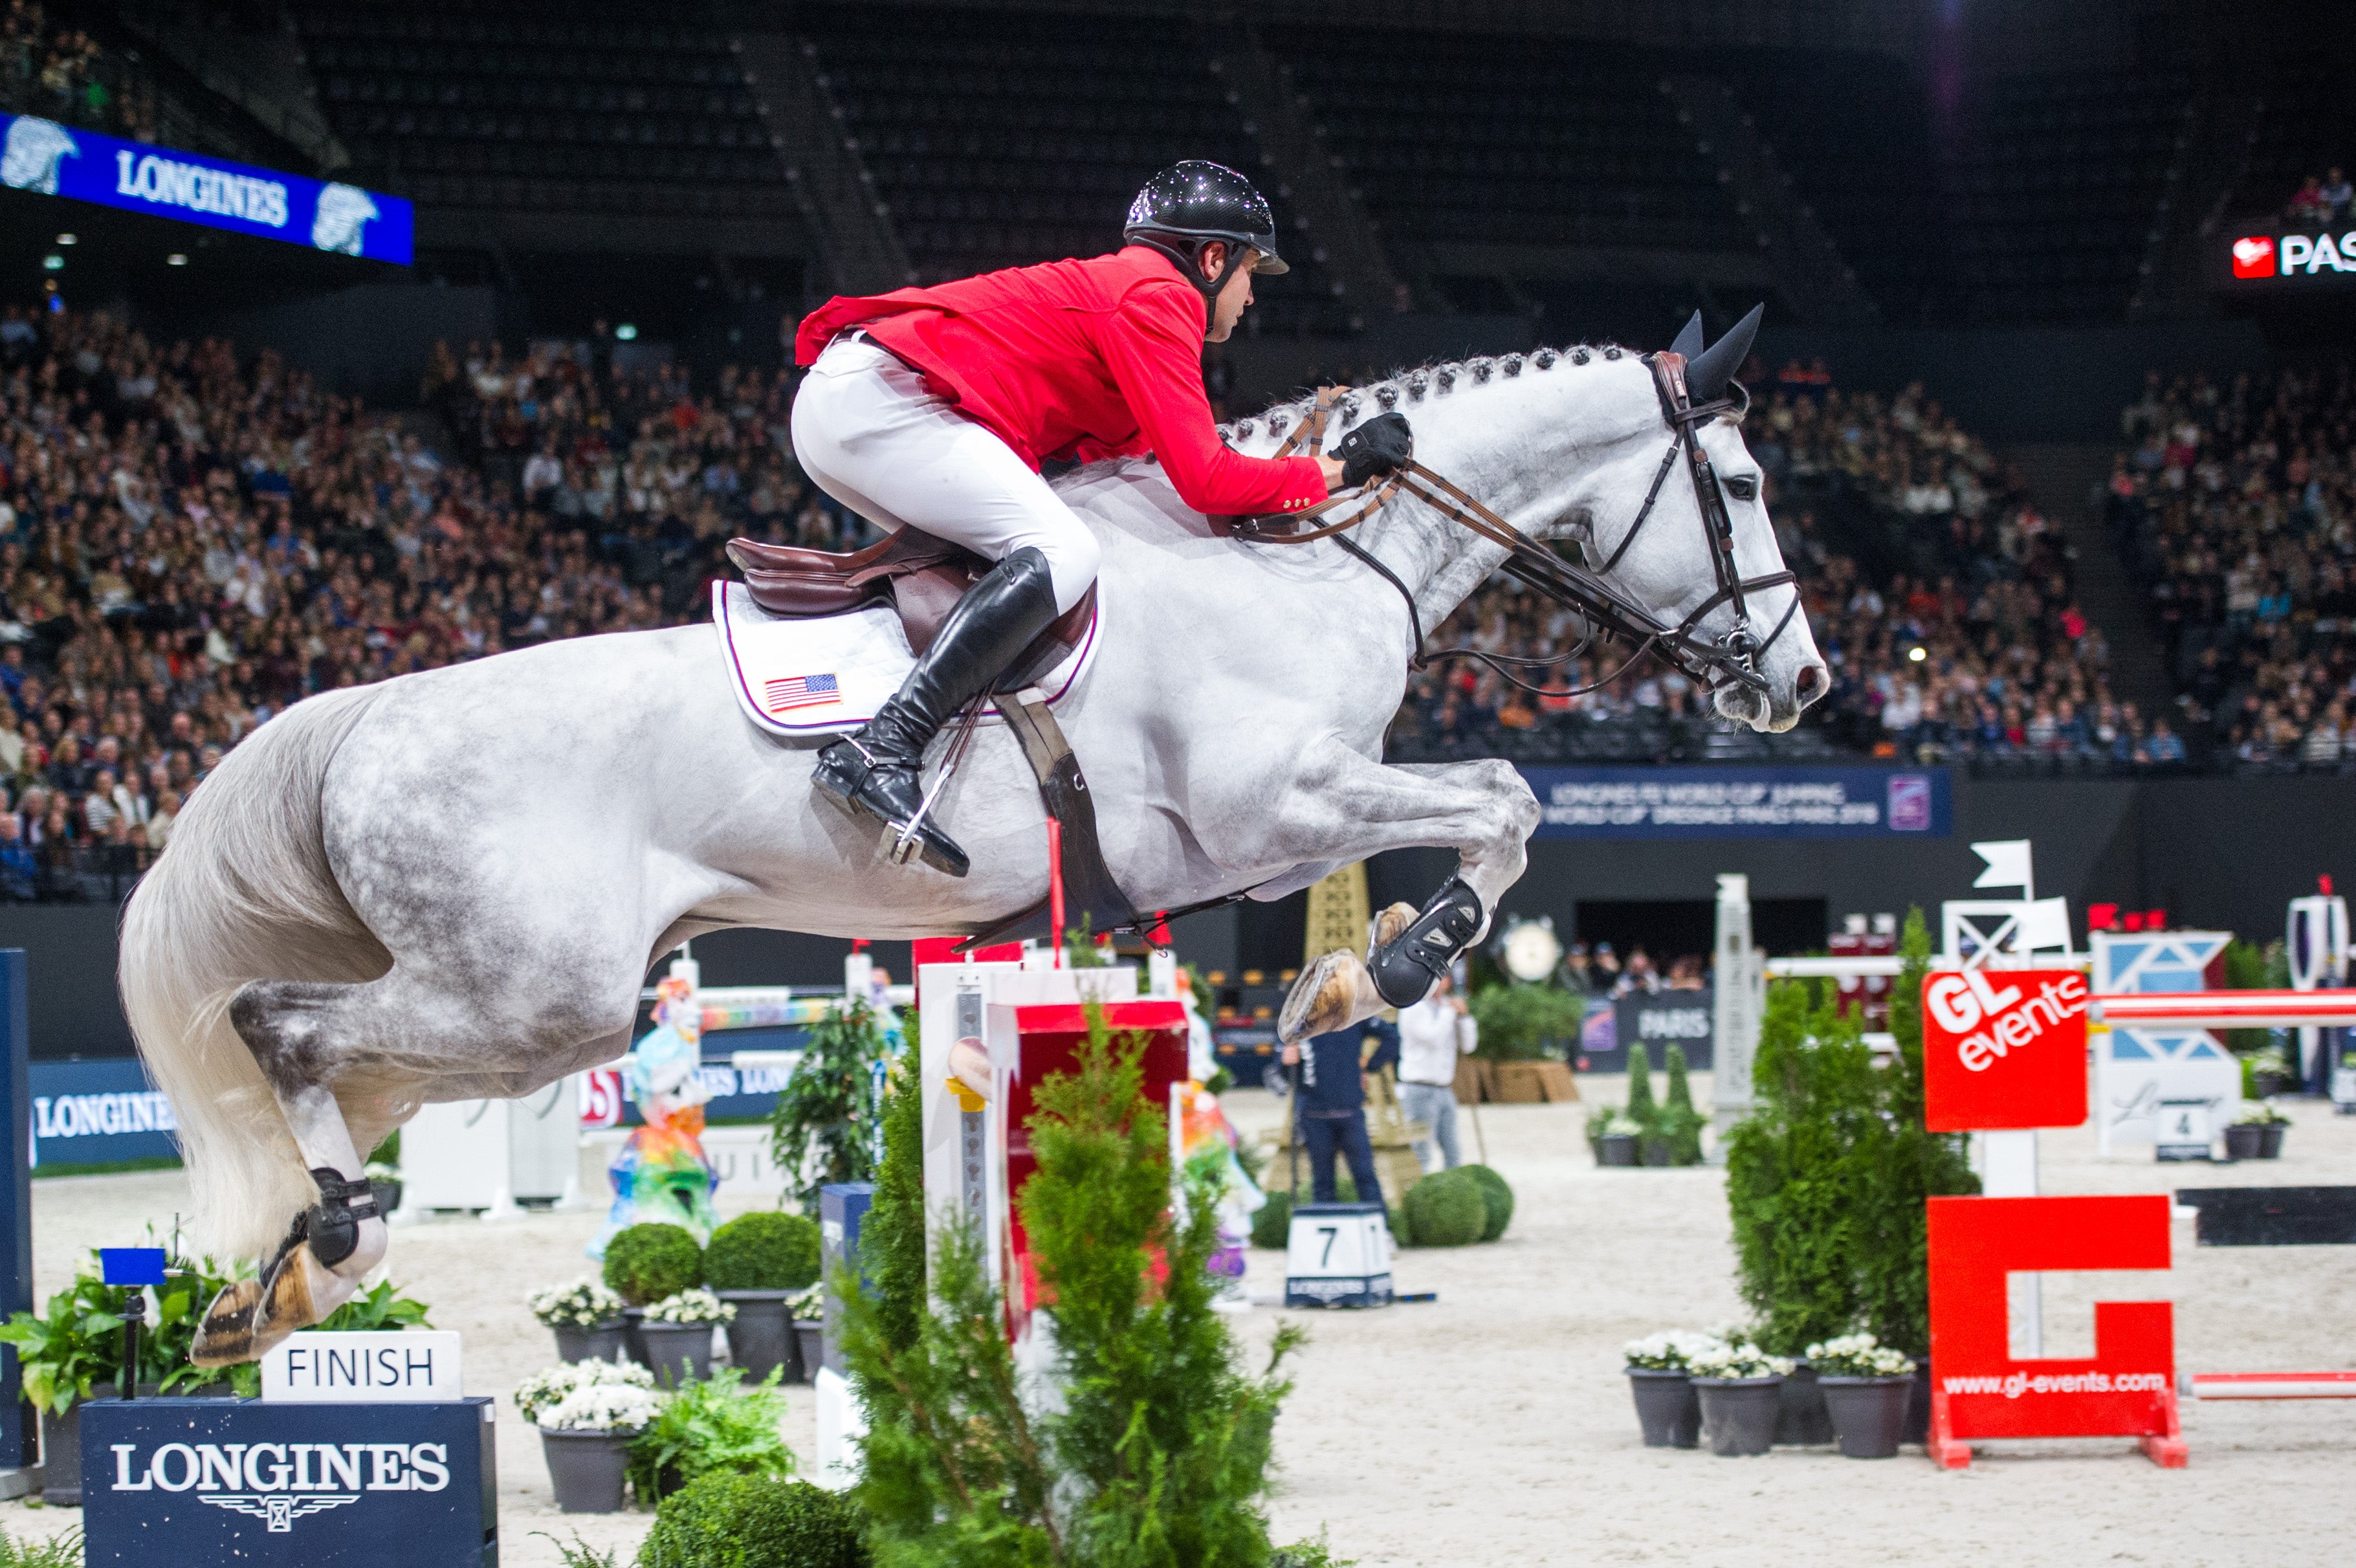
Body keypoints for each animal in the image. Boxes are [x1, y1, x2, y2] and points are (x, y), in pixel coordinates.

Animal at [119, 312, 1827, 1365]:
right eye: (1741, 481)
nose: (1803, 683)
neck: (1309, 559)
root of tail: (363, 715)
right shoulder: (1278, 806)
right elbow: (1505, 803)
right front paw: (1375, 977)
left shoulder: (1271, 837)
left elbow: (1491, 808)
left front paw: (1357, 974)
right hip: (539, 995)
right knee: (281, 1026)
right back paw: (327, 1247)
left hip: (500, 996)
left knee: (318, 1065)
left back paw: (281, 1278)